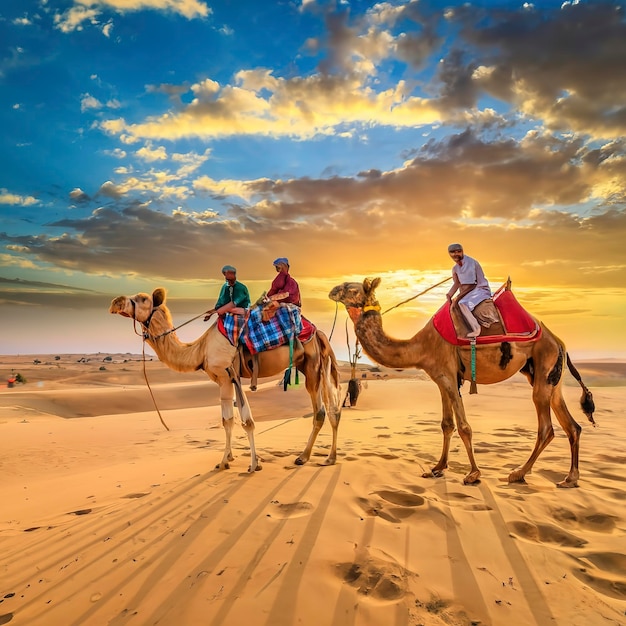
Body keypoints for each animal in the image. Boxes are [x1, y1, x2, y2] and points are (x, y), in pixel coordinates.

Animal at [108, 290, 342, 470]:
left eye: (142, 299)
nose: (115, 302)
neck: (200, 350)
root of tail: (319, 332)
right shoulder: (224, 381)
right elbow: (227, 420)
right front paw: (229, 458)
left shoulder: (226, 375)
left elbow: (245, 421)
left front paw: (248, 464)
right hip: (311, 366)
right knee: (333, 410)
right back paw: (327, 458)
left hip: (312, 366)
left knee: (321, 411)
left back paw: (307, 457)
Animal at [326, 278, 596, 488]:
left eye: (351, 289)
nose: (332, 290)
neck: (420, 347)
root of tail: (558, 341)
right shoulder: (441, 379)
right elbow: (446, 424)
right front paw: (437, 467)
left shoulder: (447, 375)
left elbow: (464, 426)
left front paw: (473, 474)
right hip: (550, 376)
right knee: (572, 426)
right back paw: (570, 478)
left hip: (544, 362)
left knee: (547, 427)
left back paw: (518, 473)